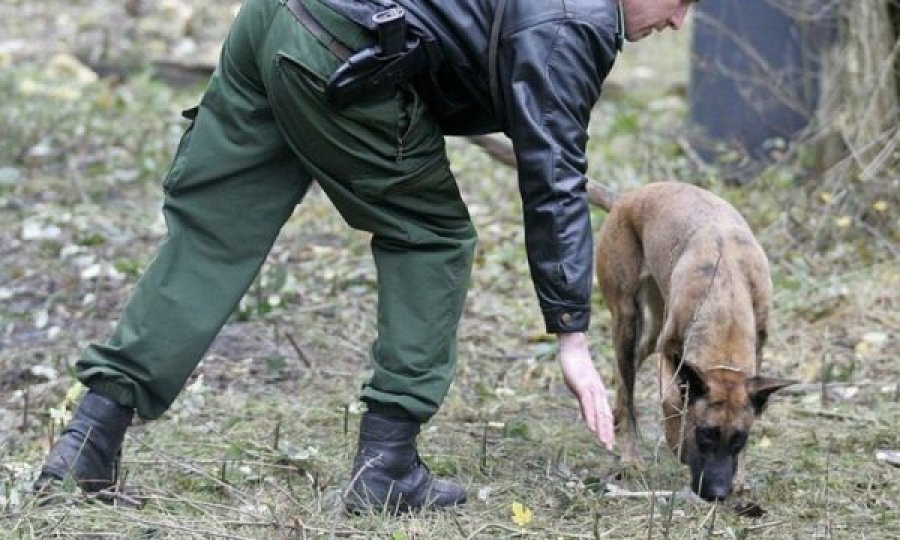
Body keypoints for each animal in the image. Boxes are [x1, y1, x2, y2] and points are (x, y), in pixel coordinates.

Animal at [592, 181, 796, 502]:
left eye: (739, 439)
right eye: (706, 434)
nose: (718, 494)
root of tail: (627, 198)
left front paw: (741, 476)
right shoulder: (671, 354)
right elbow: (672, 400)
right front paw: (678, 444)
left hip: (651, 327)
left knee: (631, 370)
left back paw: (617, 415)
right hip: (626, 318)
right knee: (629, 378)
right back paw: (631, 455)